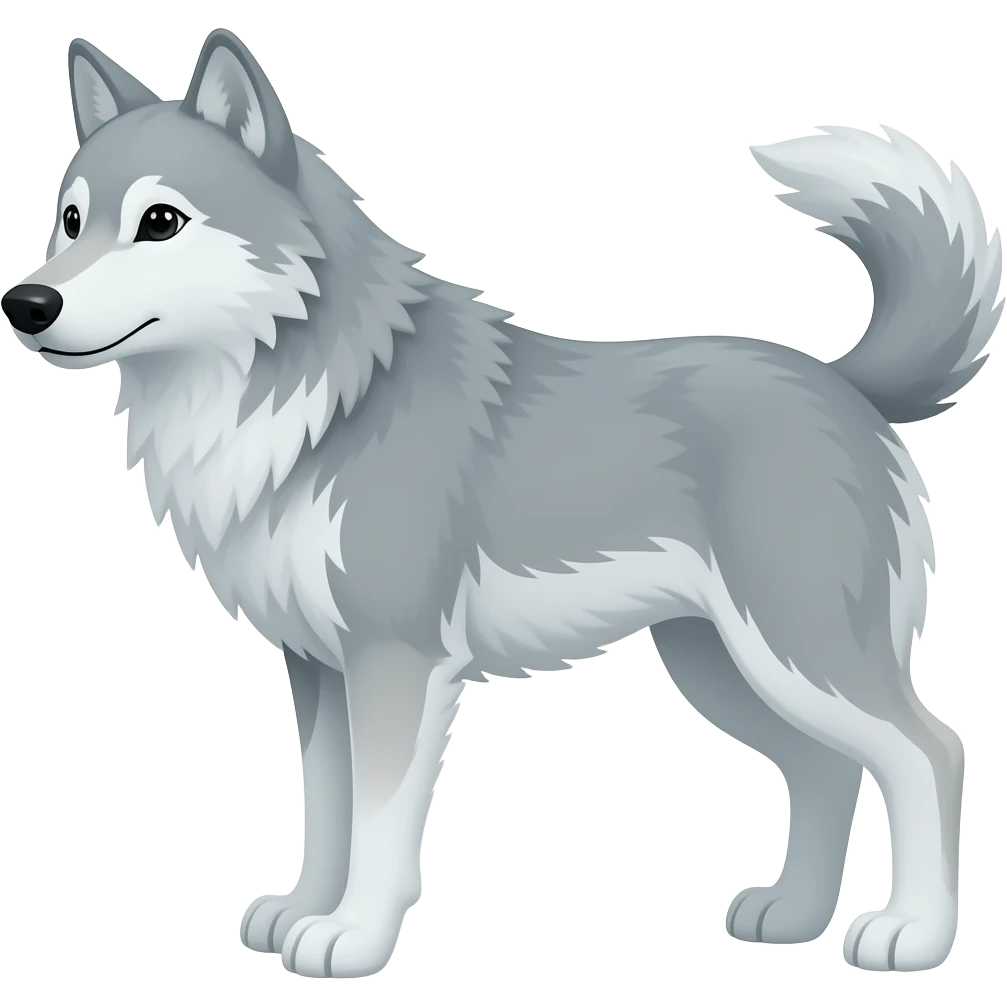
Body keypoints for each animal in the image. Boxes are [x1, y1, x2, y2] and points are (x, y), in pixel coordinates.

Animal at [2, 30, 996, 978]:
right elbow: (325, 808)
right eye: (70, 220)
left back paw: (910, 934)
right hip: (723, 664)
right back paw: (792, 917)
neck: (321, 401)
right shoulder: (316, 669)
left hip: (796, 652)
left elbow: (380, 825)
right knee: (827, 768)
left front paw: (350, 938)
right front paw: (301, 911)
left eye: (160, 222)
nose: (27, 302)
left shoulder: (396, 663)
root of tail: (844, 386)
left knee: (929, 752)